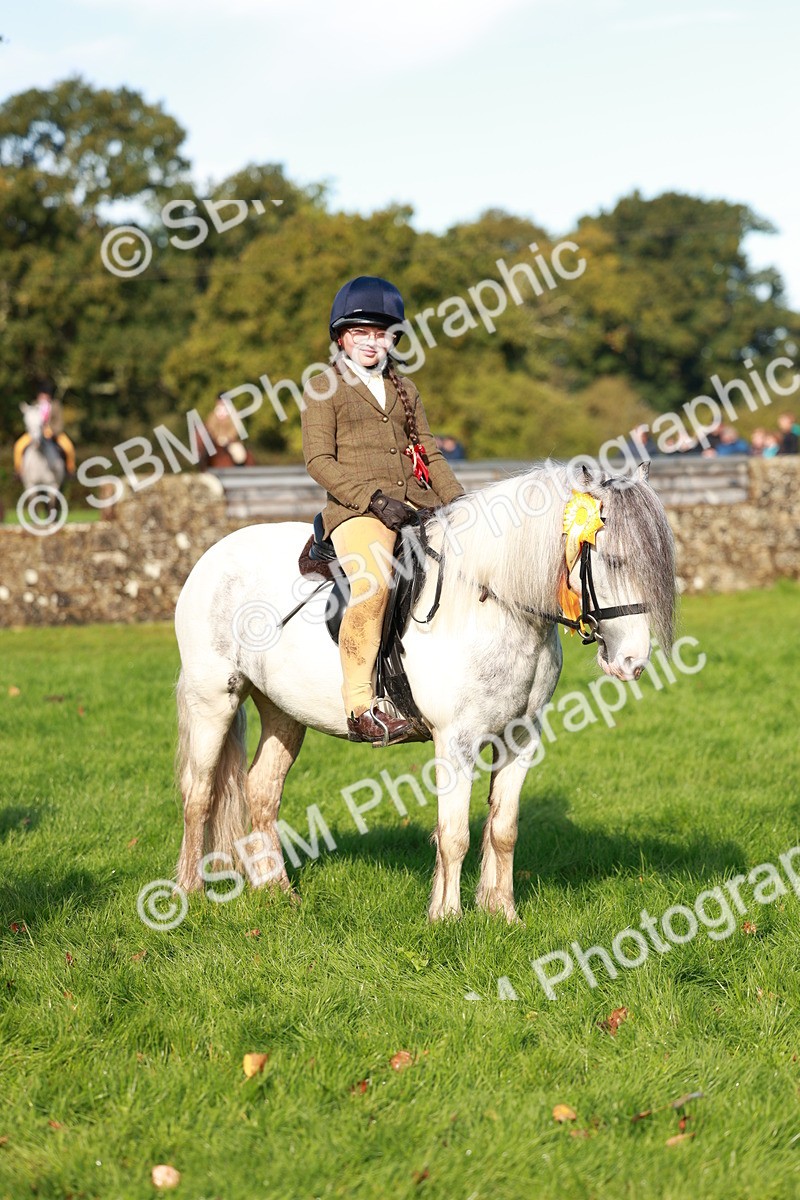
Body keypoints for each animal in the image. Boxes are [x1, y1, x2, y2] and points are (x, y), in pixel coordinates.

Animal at [173, 461, 675, 922]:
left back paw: (277, 892)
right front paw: (447, 918)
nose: (633, 661)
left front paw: (503, 913)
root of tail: (215, 555)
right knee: (199, 793)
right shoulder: (455, 741)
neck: (490, 605)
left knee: (261, 791)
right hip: (213, 700)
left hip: (284, 712)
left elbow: (504, 829)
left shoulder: (520, 739)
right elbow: (454, 834)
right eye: (613, 560)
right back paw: (187, 893)